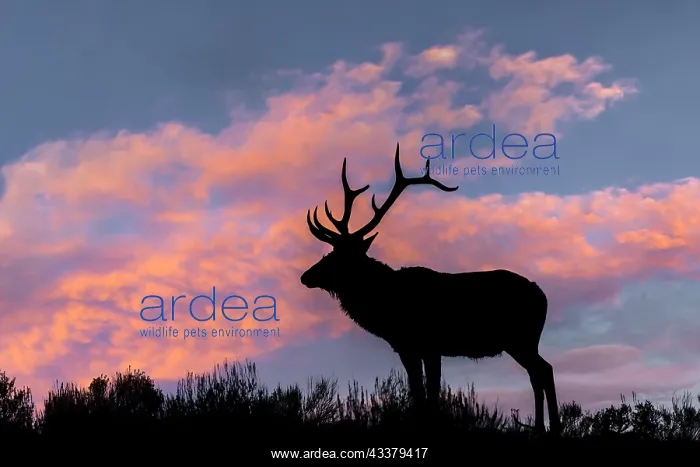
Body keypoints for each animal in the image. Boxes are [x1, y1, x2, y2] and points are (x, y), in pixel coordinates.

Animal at [300, 143, 561, 435]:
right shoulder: (408, 347)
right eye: (329, 252)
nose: (305, 276)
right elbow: (419, 390)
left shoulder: (428, 344)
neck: (383, 307)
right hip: (523, 341)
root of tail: (543, 296)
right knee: (539, 372)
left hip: (521, 338)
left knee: (544, 371)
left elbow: (431, 391)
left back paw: (552, 427)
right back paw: (541, 427)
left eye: (339, 257)